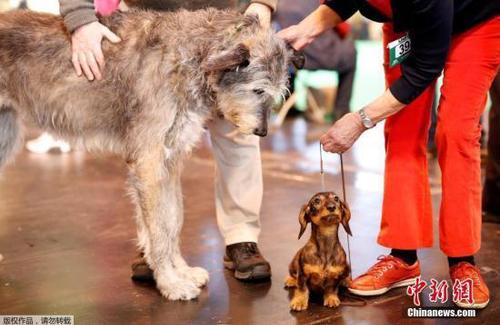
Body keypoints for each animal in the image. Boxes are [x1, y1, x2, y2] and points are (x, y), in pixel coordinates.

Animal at [0, 8, 292, 298]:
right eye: (258, 89)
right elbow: (159, 228)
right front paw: (170, 283)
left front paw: (181, 271)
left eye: (276, 93)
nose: (262, 132)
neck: (191, 55)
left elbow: (173, 218)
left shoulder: (170, 160)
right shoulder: (149, 162)